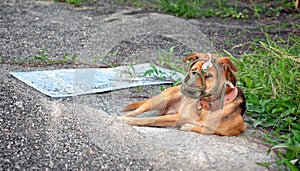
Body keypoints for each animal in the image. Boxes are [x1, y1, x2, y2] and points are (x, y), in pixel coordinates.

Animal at [118, 52, 247, 136]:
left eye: (208, 75)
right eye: (194, 71)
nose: (187, 86)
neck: (206, 106)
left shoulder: (237, 129)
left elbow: (207, 129)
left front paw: (189, 126)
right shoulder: (179, 116)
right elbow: (146, 120)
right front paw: (125, 120)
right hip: (161, 99)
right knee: (137, 111)